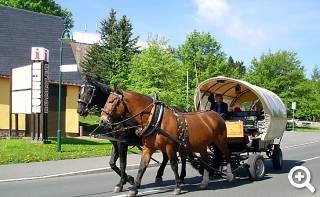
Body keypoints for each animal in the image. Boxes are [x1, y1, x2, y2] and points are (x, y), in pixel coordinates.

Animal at [100, 88, 232, 196]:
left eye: (111, 101)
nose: (102, 121)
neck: (155, 118)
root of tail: (215, 114)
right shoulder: (148, 148)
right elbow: (142, 167)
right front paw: (134, 187)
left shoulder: (169, 147)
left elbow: (173, 165)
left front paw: (177, 187)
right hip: (201, 145)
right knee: (205, 160)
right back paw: (204, 182)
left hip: (220, 140)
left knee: (226, 155)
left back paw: (230, 176)